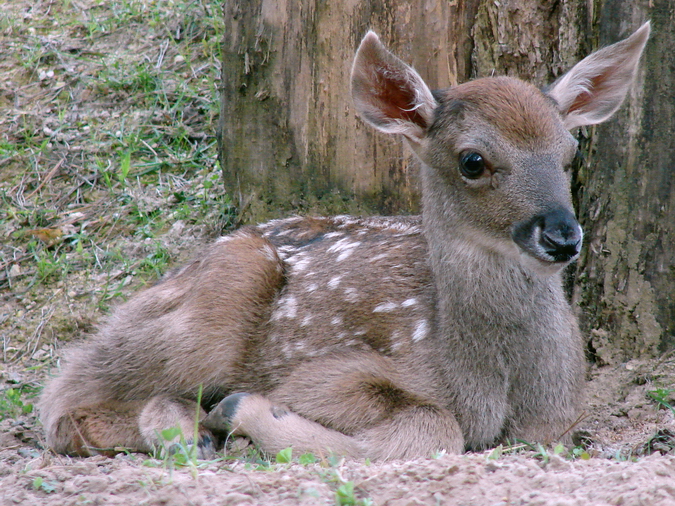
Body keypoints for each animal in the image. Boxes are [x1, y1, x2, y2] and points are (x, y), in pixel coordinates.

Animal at [39, 22, 650, 461]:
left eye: (570, 154)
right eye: (472, 161)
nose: (563, 236)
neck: (493, 381)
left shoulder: (561, 419)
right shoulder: (327, 373)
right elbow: (434, 426)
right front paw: (244, 412)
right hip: (211, 307)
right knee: (62, 401)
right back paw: (191, 431)